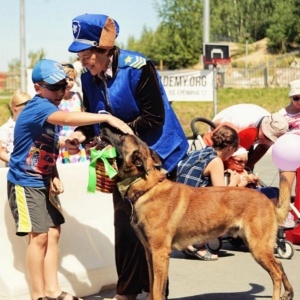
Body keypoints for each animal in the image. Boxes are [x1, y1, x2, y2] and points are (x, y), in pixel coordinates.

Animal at [101, 127, 292, 300]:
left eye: (122, 136)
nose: (102, 127)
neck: (147, 187)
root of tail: (269, 202)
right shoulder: (150, 254)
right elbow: (153, 287)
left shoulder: (159, 254)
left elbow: (157, 291)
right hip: (258, 246)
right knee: (280, 265)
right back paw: (289, 293)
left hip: (258, 247)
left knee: (276, 272)